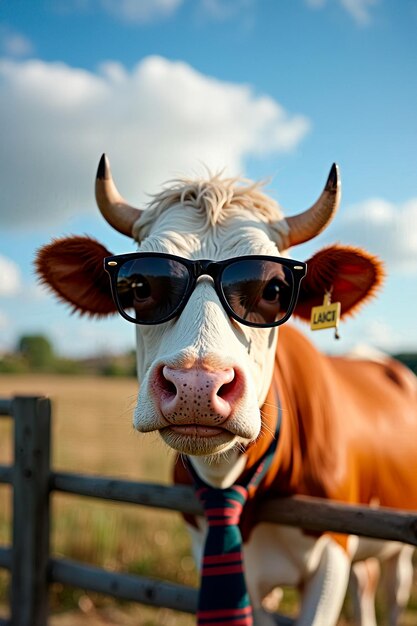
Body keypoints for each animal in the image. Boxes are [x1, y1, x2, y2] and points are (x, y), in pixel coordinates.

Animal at [36, 152, 416, 624]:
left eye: (274, 288)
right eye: (139, 286)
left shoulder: (333, 554)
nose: (196, 383)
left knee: (393, 592)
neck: (227, 482)